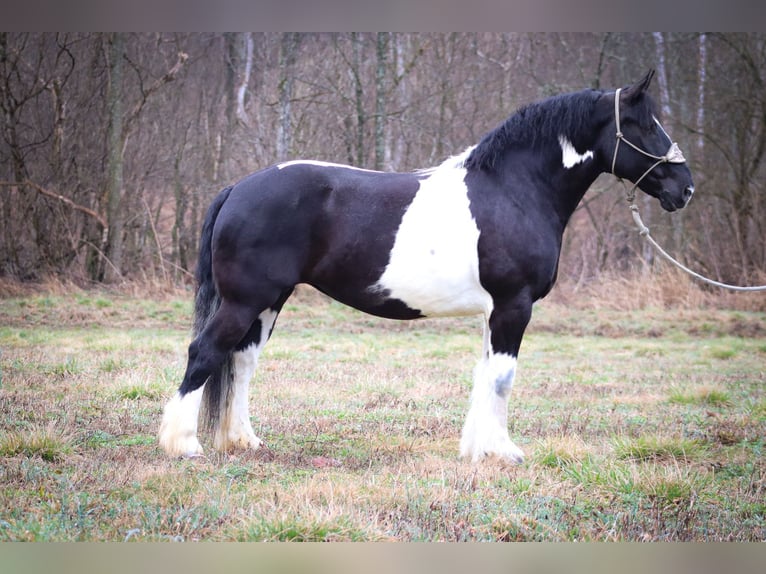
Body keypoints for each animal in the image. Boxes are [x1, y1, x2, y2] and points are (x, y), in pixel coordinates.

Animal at [160, 72, 696, 466]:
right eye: (647, 125)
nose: (685, 188)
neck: (513, 189)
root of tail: (239, 187)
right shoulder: (514, 306)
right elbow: (503, 377)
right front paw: (504, 452)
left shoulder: (494, 312)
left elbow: (486, 374)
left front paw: (478, 449)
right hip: (245, 299)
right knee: (204, 352)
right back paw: (183, 445)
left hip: (270, 301)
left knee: (242, 361)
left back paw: (243, 441)